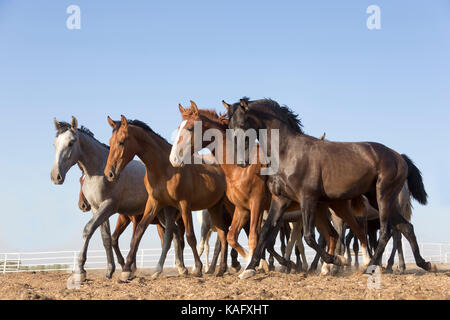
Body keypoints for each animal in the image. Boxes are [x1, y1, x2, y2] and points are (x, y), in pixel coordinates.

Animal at [104, 115, 234, 280]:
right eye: (110, 142)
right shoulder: (154, 203)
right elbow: (139, 232)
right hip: (214, 207)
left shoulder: (184, 205)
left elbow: (190, 237)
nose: (109, 174)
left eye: (121, 142)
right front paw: (127, 270)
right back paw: (221, 269)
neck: (165, 168)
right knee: (223, 235)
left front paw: (197, 268)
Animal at [225, 97, 436, 278]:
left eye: (242, 125)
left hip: (383, 195)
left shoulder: (307, 199)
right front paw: (249, 269)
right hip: (377, 199)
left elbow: (310, 237)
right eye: (229, 126)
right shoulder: (280, 200)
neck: (288, 152)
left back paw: (371, 266)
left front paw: (338, 260)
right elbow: (265, 233)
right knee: (406, 227)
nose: (240, 161)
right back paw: (425, 264)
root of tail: (399, 157)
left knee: (386, 232)